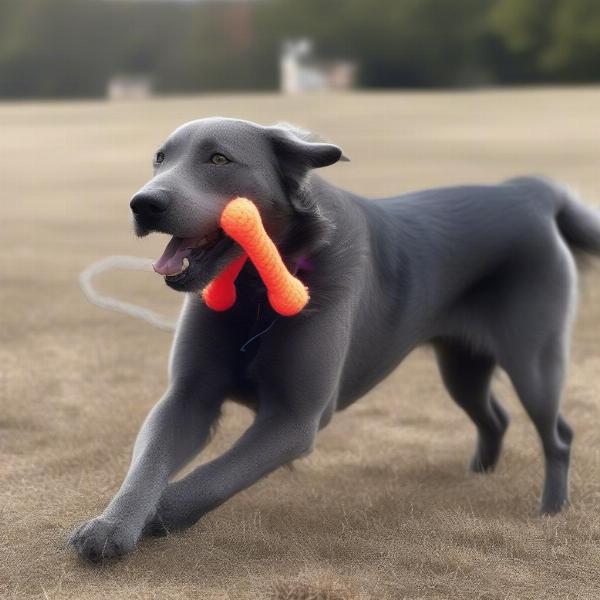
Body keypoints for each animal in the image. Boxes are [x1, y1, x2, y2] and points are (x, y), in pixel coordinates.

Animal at [69, 118, 600, 564]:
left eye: (219, 159)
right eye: (159, 159)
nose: (143, 203)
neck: (255, 290)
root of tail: (532, 193)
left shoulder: (294, 418)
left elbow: (216, 476)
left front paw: (160, 515)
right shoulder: (188, 398)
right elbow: (149, 462)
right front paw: (112, 524)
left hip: (533, 362)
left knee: (558, 435)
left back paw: (551, 508)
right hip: (462, 366)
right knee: (496, 417)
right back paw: (478, 475)